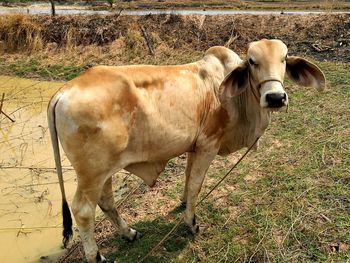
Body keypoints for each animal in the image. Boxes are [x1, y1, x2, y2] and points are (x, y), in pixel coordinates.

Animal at [47, 39, 326, 263]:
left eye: (284, 58)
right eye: (252, 61)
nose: (276, 97)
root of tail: (63, 91)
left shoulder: (194, 146)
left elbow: (188, 177)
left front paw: (182, 204)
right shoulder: (208, 145)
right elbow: (196, 185)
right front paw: (192, 223)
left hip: (104, 171)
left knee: (106, 202)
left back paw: (129, 233)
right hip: (91, 173)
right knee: (83, 212)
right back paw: (96, 256)